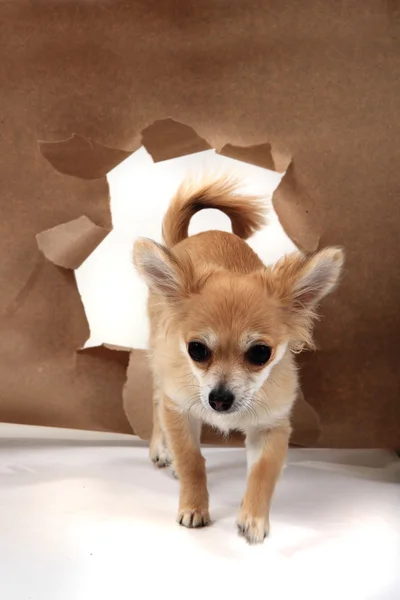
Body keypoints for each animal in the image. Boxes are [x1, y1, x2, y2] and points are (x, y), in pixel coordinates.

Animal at [134, 175, 344, 544]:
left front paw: (253, 518)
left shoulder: (272, 426)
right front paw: (193, 506)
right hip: (161, 360)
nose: (219, 399)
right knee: (158, 397)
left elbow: (263, 472)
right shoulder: (179, 408)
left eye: (261, 353)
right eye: (197, 350)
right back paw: (163, 447)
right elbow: (192, 459)